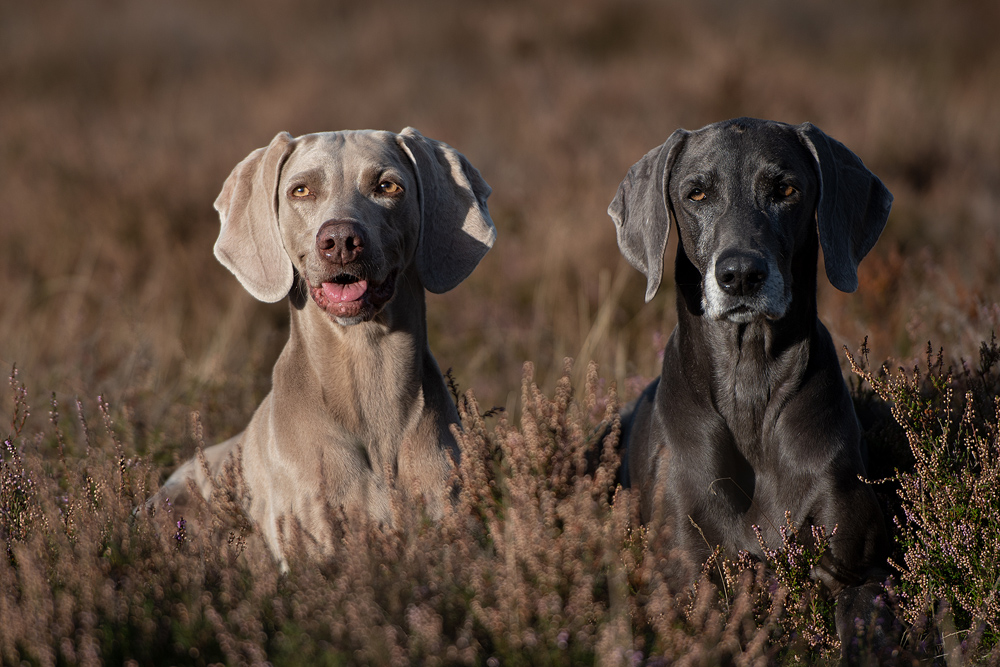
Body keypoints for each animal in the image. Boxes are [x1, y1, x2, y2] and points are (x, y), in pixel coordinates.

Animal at [612, 117, 896, 648]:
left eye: (785, 189)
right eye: (696, 193)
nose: (741, 274)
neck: (749, 385)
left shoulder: (861, 568)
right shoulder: (686, 579)